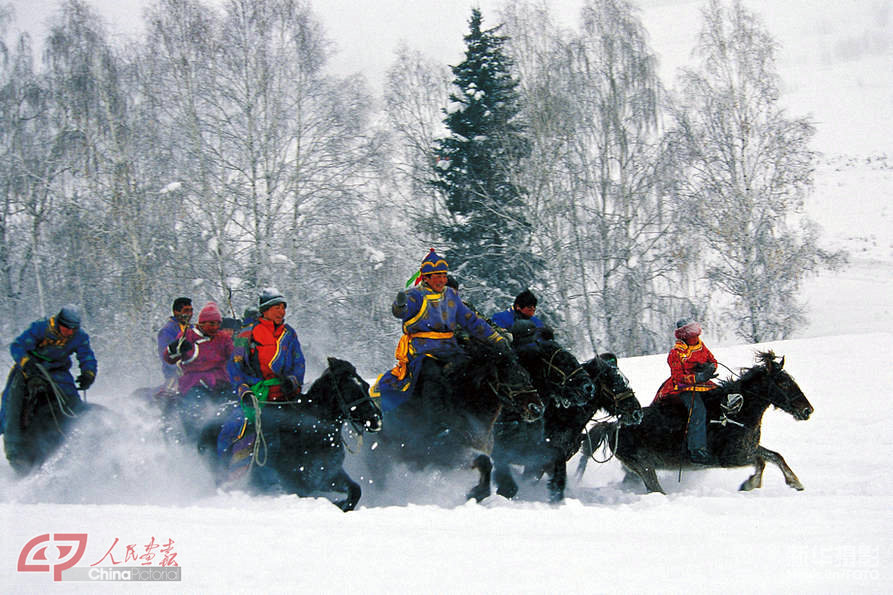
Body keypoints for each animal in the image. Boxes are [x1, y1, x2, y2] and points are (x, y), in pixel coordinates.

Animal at [207, 358, 382, 512]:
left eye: (366, 385)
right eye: (349, 390)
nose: (376, 419)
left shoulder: (328, 475)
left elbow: (355, 490)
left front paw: (339, 504)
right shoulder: (297, 483)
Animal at [368, 338, 544, 506]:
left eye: (526, 375)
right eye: (507, 375)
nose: (537, 408)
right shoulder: (445, 452)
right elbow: (485, 462)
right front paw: (477, 493)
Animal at [580, 352, 816, 496]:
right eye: (783, 382)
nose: (807, 410)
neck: (739, 412)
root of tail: (614, 426)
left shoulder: (748, 448)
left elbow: (774, 455)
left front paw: (796, 483)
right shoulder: (732, 457)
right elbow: (761, 461)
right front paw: (749, 484)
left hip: (635, 469)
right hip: (644, 466)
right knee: (655, 488)